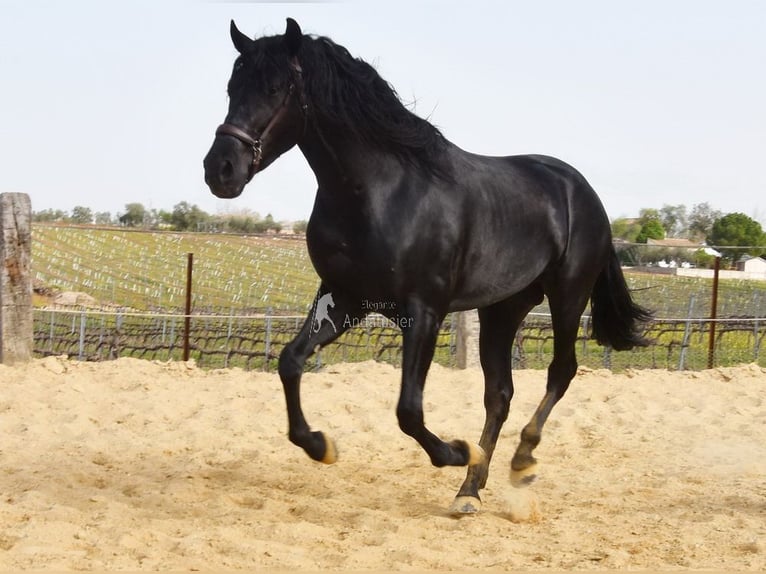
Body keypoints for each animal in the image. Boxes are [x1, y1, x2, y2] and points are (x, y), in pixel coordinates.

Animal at [203, 18, 651, 514]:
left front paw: (454, 451)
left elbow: (408, 409)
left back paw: (520, 460)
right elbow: (290, 362)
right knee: (499, 394)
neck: (379, 192)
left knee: (561, 371)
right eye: (232, 87)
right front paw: (321, 445)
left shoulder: (423, 310)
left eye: (275, 87)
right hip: (503, 308)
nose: (220, 170)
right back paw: (470, 490)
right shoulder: (343, 299)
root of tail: (583, 190)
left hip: (568, 295)